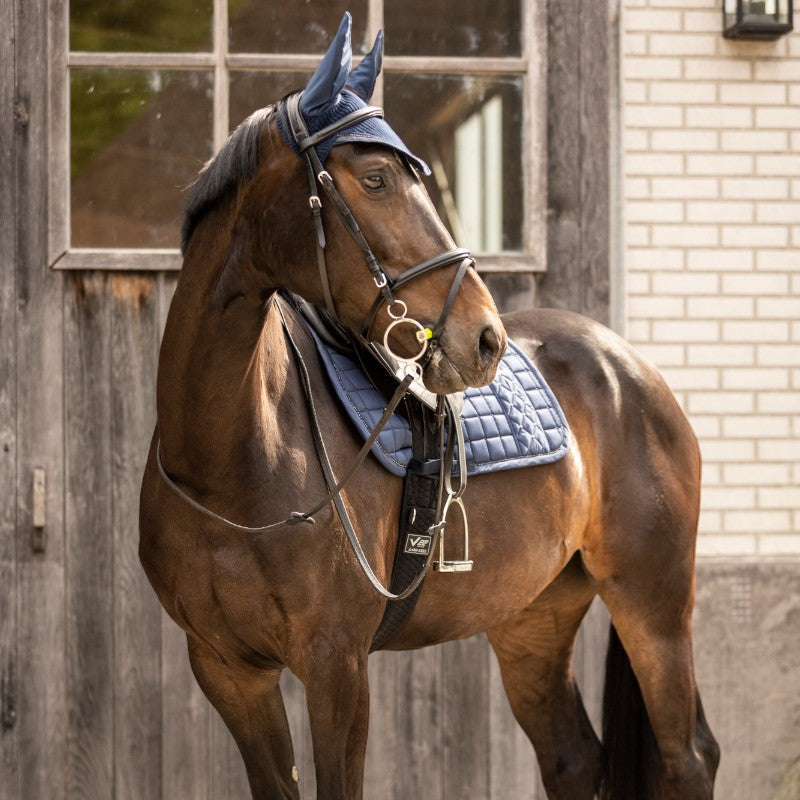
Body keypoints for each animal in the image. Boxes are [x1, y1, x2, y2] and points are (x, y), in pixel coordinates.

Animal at [139, 14, 720, 800]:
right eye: (376, 178)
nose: (485, 337)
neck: (230, 459)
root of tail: (628, 366)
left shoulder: (337, 666)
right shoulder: (228, 672)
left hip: (653, 602)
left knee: (687, 756)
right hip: (534, 615)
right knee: (572, 756)